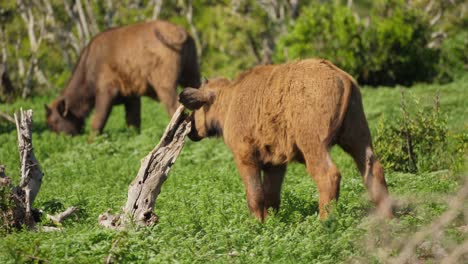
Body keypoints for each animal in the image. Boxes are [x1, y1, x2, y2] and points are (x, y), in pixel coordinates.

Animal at [46, 19, 201, 136]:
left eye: (54, 122)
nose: (58, 138)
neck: (89, 66)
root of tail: (182, 32)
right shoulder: (132, 97)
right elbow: (133, 122)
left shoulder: (106, 93)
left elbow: (98, 121)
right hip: (191, 75)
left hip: (165, 86)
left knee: (175, 108)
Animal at [181, 58, 394, 220]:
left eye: (196, 107)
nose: (191, 129)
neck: (227, 102)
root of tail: (345, 78)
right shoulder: (275, 163)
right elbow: (271, 197)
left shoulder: (245, 156)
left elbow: (255, 196)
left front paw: (256, 223)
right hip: (357, 136)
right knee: (373, 169)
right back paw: (386, 216)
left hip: (314, 143)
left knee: (328, 175)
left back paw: (324, 221)